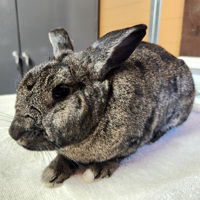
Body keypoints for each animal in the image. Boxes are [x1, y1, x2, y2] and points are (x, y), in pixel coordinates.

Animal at [8, 23, 195, 186]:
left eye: (61, 91)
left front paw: (96, 171)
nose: (14, 132)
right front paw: (52, 173)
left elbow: (114, 158)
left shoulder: (131, 144)